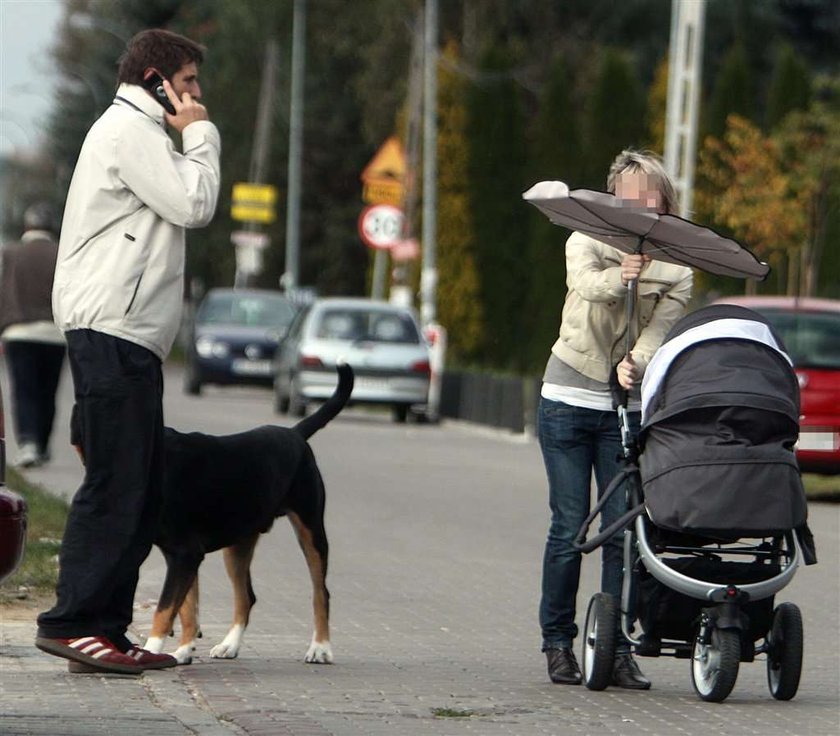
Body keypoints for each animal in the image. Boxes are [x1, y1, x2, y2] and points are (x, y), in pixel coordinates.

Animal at [72, 360, 354, 660]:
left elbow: (165, 609)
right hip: (238, 546)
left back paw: (320, 648)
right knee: (246, 596)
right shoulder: (180, 556)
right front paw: (182, 652)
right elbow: (186, 608)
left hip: (310, 530)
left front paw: (152, 650)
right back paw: (229, 645)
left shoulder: (185, 553)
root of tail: (294, 433)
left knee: (320, 592)